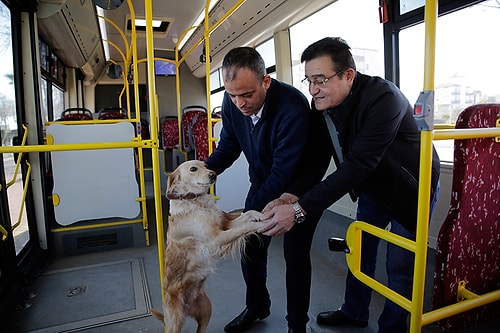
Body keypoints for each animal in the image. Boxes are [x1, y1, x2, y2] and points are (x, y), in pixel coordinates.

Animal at [150, 160, 266, 330]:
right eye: (193, 169)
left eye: (205, 165)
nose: (213, 174)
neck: (195, 201)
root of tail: (187, 308)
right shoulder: (216, 238)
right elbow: (244, 227)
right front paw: (260, 224)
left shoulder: (225, 225)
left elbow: (246, 215)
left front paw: (259, 214)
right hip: (175, 323)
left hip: (206, 310)